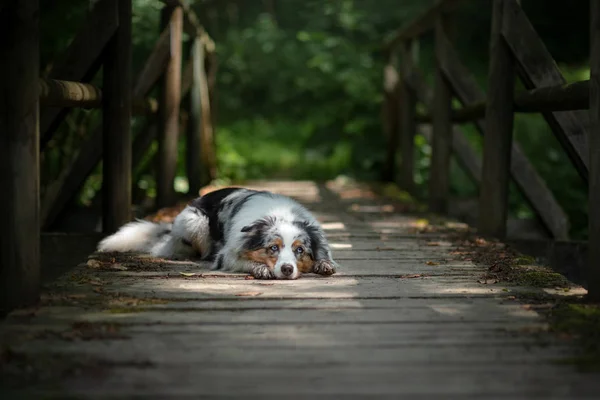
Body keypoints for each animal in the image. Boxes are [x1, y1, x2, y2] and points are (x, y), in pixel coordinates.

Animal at [97, 187, 338, 278]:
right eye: (273, 248)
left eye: (300, 250)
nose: (287, 269)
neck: (279, 214)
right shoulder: (227, 255)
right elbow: (244, 261)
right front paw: (260, 268)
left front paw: (323, 264)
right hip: (195, 222)